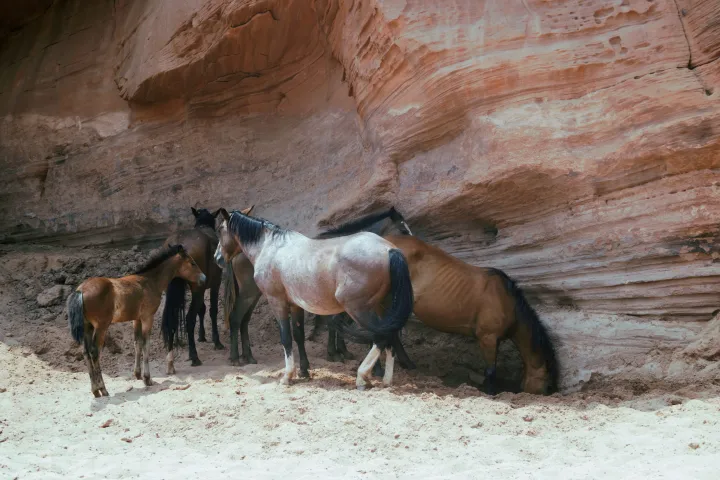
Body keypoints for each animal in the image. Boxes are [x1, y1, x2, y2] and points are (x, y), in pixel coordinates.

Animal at [66, 245, 206, 397]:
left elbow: (137, 343)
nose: (204, 278)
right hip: (101, 327)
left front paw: (138, 374)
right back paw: (103, 389)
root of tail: (80, 290)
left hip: (88, 326)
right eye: (192, 263)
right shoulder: (147, 317)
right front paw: (147, 378)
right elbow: (146, 345)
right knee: (94, 352)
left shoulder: (136, 319)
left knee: (86, 352)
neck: (150, 282)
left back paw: (95, 390)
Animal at [161, 207, 224, 372]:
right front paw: (217, 341)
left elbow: (201, 309)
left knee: (171, 319)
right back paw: (194, 355)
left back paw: (170, 361)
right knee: (189, 318)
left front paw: (202, 336)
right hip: (198, 288)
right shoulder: (215, 284)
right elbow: (212, 310)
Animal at [214, 208, 414, 389]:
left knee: (381, 337)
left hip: (360, 308)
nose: (217, 258)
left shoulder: (277, 301)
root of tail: (390, 250)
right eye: (403, 230)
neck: (270, 247)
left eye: (220, 230)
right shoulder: (295, 304)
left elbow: (286, 337)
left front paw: (288, 375)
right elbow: (299, 335)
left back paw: (363, 376)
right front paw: (304, 371)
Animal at [318, 208, 560, 395]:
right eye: (548, 385)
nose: (549, 394)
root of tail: (384, 247)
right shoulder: (488, 338)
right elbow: (491, 371)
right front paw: (490, 392)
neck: (507, 300)